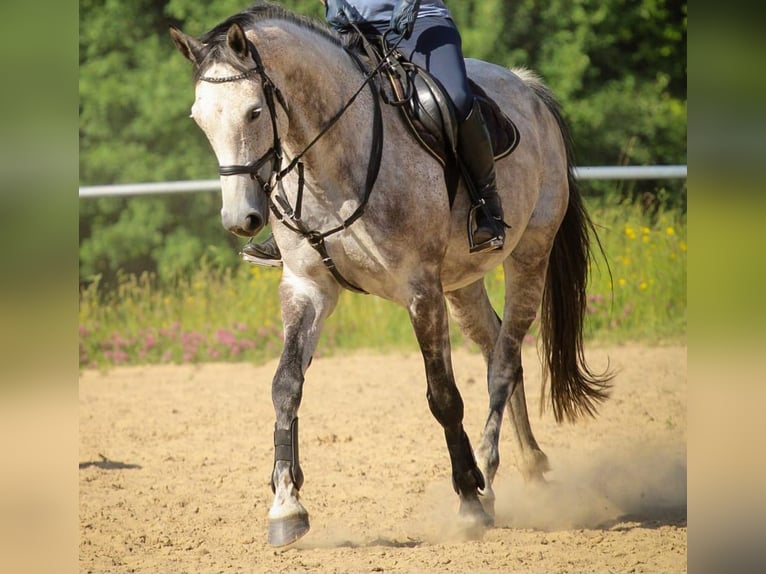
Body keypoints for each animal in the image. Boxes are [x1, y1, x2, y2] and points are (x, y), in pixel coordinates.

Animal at [170, 1, 611, 547]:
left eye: (254, 111)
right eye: (200, 120)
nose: (241, 220)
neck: (334, 159)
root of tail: (528, 88)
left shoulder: (420, 290)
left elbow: (443, 397)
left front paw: (467, 500)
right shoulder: (307, 288)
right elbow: (285, 386)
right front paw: (286, 507)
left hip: (529, 254)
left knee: (505, 364)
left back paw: (487, 479)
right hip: (461, 284)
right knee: (496, 349)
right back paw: (527, 465)